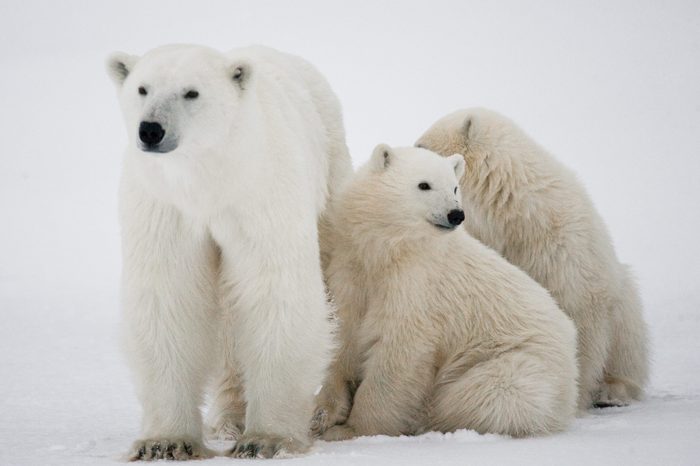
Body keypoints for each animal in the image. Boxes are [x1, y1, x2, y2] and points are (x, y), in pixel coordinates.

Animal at [106, 45, 352, 460]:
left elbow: (274, 293)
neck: (208, 183)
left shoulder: (260, 196)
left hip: (331, 170)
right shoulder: (165, 207)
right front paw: (165, 443)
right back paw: (230, 418)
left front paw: (267, 439)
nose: (151, 130)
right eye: (142, 88)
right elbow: (169, 299)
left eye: (191, 92)